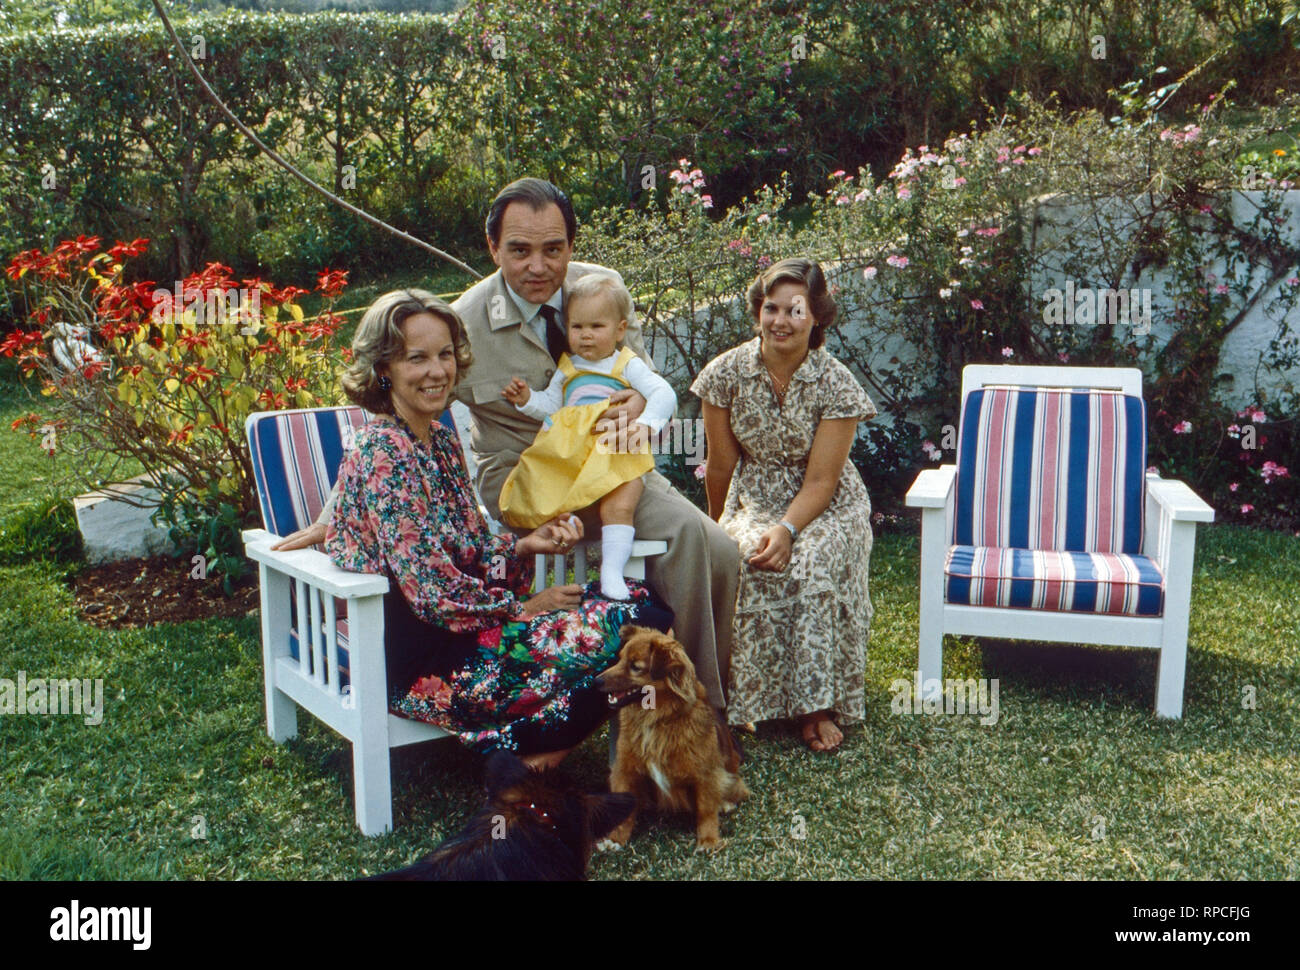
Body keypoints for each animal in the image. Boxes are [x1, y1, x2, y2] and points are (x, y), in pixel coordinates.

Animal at [595, 626, 748, 847]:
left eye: (635, 666)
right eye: (620, 659)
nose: (596, 681)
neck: (656, 718)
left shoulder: (706, 773)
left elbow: (706, 809)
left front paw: (708, 840)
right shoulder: (625, 769)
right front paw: (616, 838)